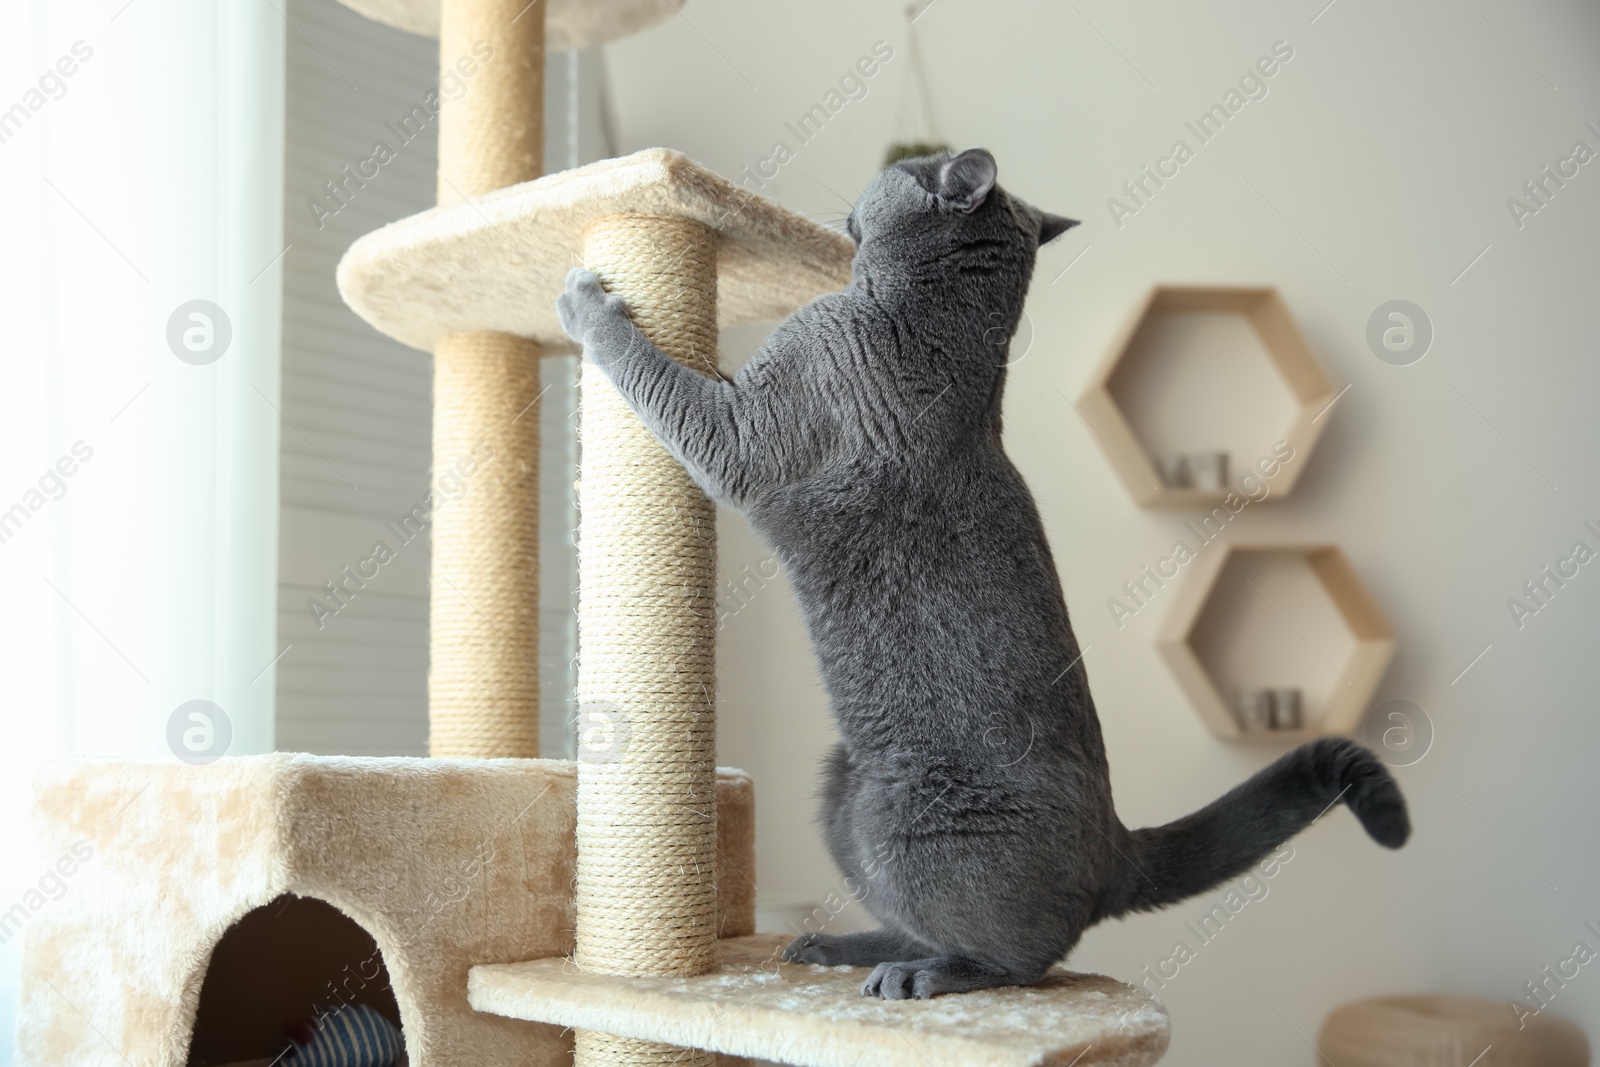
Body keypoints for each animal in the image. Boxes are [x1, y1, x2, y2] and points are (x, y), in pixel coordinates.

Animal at [556, 147, 1408, 1004]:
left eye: (904, 166)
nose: (889, 164)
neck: (936, 329)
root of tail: (1115, 849)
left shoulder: (745, 427)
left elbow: (656, 379)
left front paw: (584, 302)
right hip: (844, 787)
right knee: (922, 919)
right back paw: (842, 948)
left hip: (908, 813)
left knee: (1022, 959)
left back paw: (922, 975)